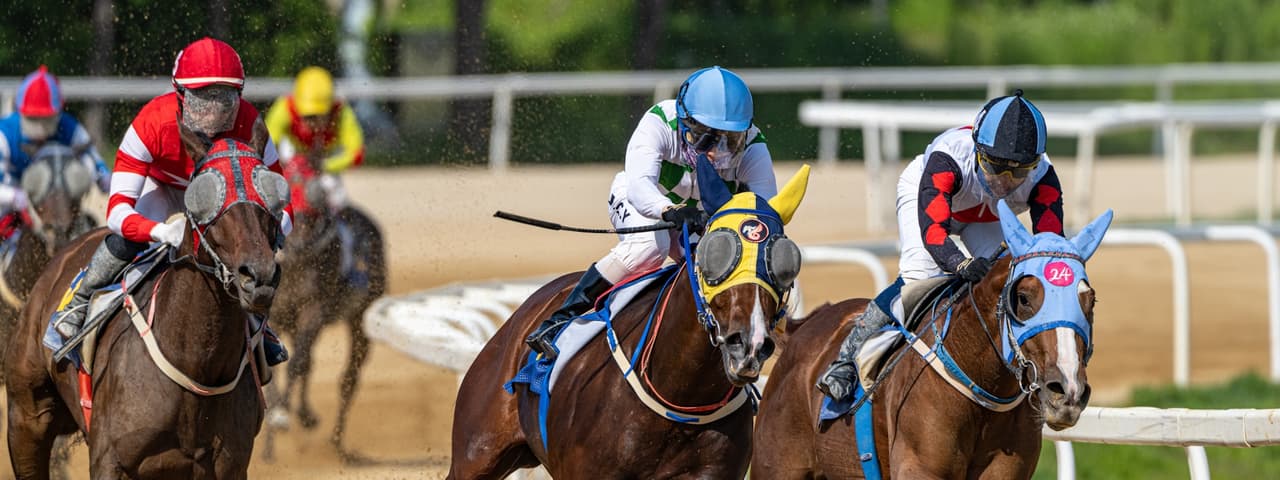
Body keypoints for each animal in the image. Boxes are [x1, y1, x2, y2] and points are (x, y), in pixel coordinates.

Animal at [5, 119, 290, 479]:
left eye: (274, 199)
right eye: (204, 198)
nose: (258, 277)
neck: (196, 365)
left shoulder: (228, 465)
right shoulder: (110, 460)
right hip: (26, 418)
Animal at [262, 153, 387, 463]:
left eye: (317, 168)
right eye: (293, 175)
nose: (317, 193)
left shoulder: (314, 310)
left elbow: (297, 364)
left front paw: (283, 415)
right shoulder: (276, 315)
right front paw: (271, 439)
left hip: (360, 317)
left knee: (348, 379)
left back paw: (336, 444)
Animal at [751, 200, 1113, 479]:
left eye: (1090, 299)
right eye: (1023, 298)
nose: (1068, 391)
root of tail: (802, 328)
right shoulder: (920, 467)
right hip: (778, 464)